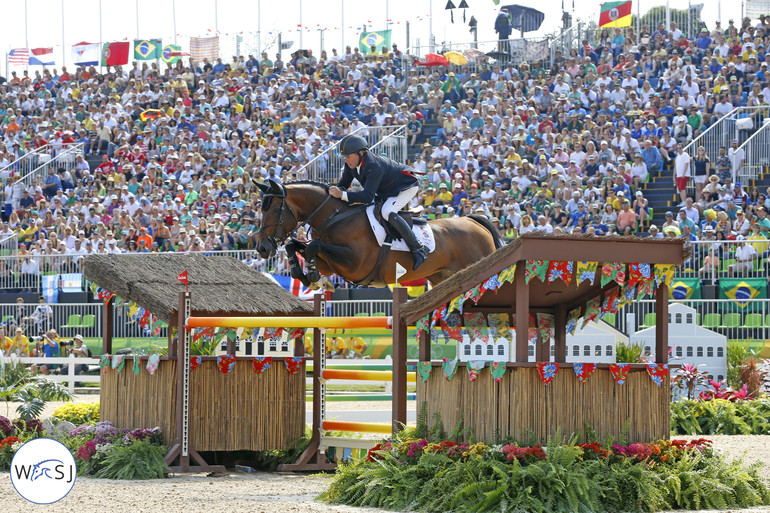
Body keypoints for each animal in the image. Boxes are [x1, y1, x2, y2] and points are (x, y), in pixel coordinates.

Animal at [255, 178, 500, 286]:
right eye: (261, 208)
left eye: (275, 209)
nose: (262, 248)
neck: (333, 217)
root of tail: (473, 220)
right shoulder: (330, 264)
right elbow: (296, 246)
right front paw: (302, 273)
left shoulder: (355, 263)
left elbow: (313, 246)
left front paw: (311, 275)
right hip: (441, 276)